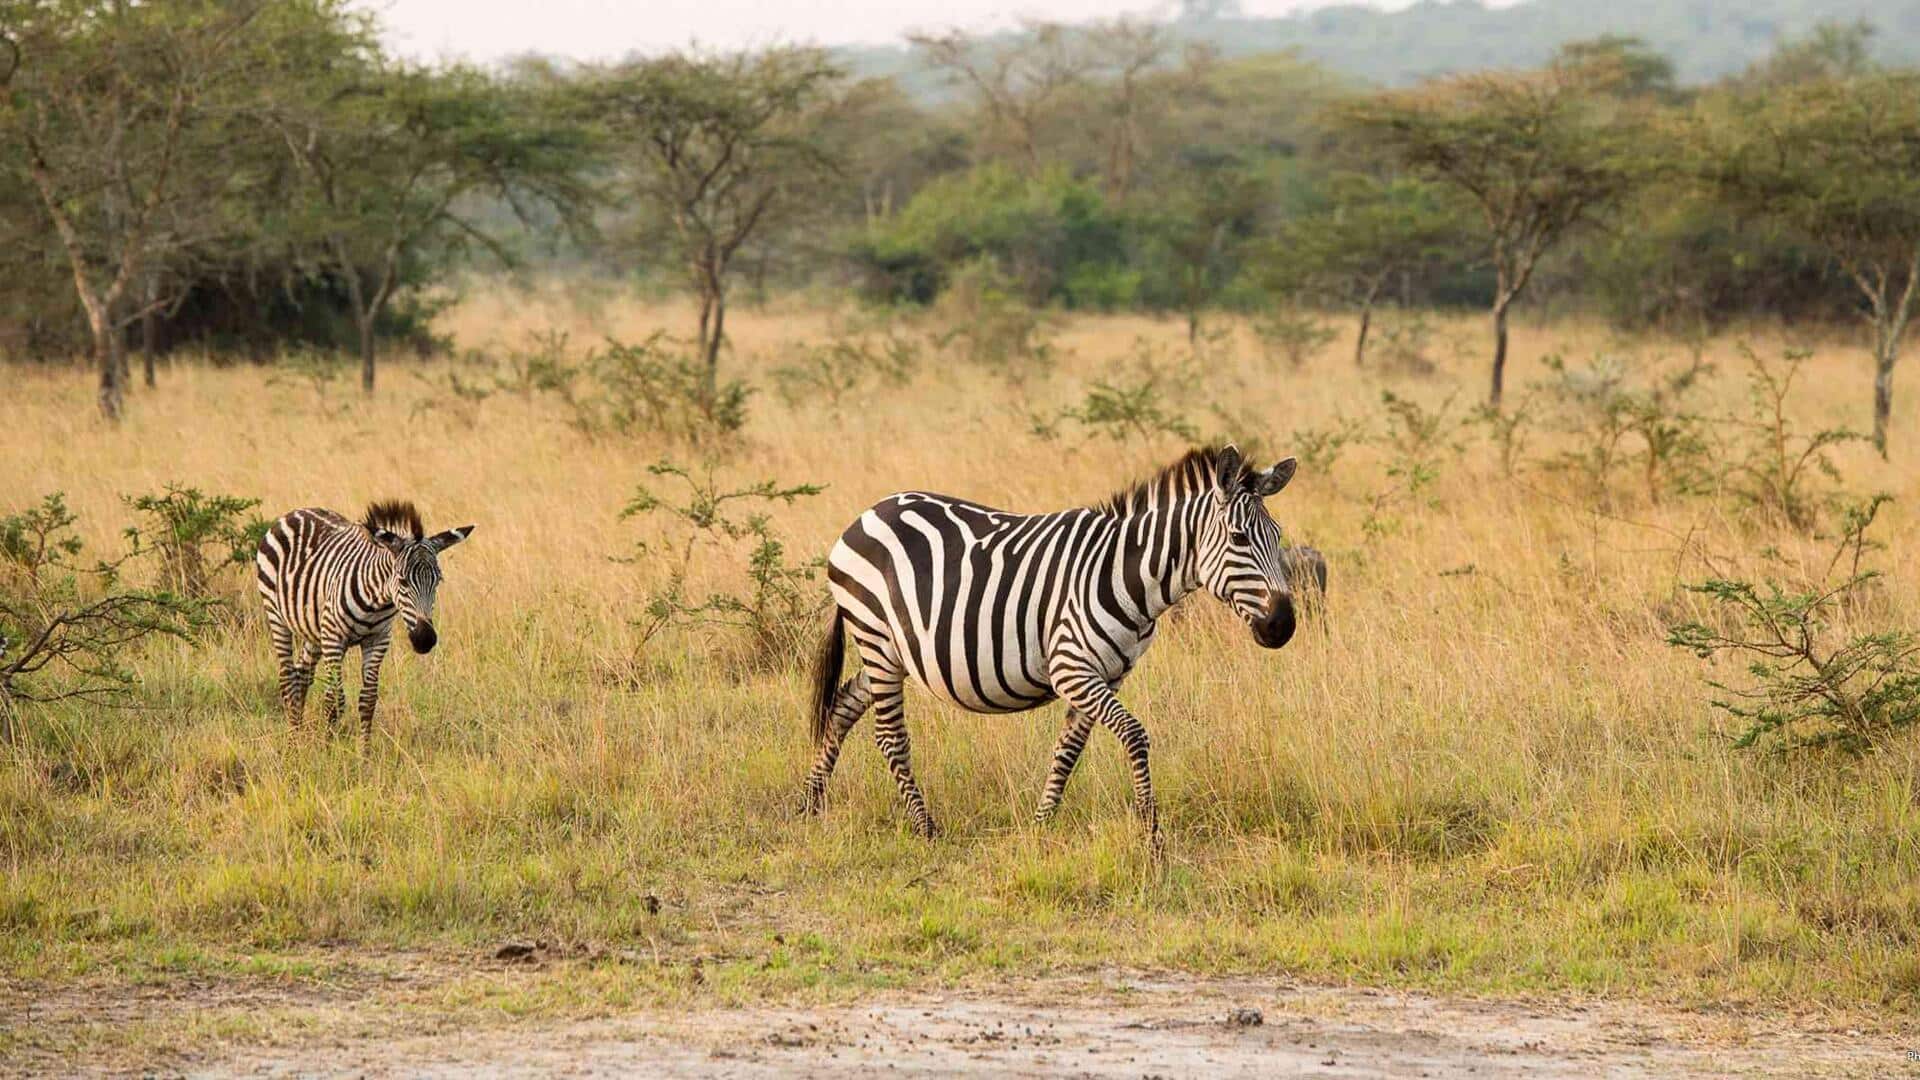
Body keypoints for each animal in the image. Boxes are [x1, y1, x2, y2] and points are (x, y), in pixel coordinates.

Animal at [255, 501, 473, 747]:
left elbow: (368, 701)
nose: (425, 639)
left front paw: (364, 753)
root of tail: (297, 511)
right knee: (287, 679)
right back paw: (293, 743)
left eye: (438, 581)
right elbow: (334, 700)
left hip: (314, 629)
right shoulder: (334, 638)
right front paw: (328, 749)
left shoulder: (378, 640)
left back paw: (298, 737)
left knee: (302, 676)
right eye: (402, 581)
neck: (378, 601)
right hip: (277, 616)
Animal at [803, 445, 1300, 840]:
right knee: (889, 736)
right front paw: (1151, 830)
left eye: (1278, 537)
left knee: (843, 705)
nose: (1283, 627)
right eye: (1238, 538)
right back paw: (925, 827)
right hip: (877, 639)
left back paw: (810, 802)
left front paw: (1043, 823)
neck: (1127, 575)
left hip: (891, 651)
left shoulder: (1107, 675)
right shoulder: (1070, 667)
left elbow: (1068, 750)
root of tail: (867, 513)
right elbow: (1135, 735)